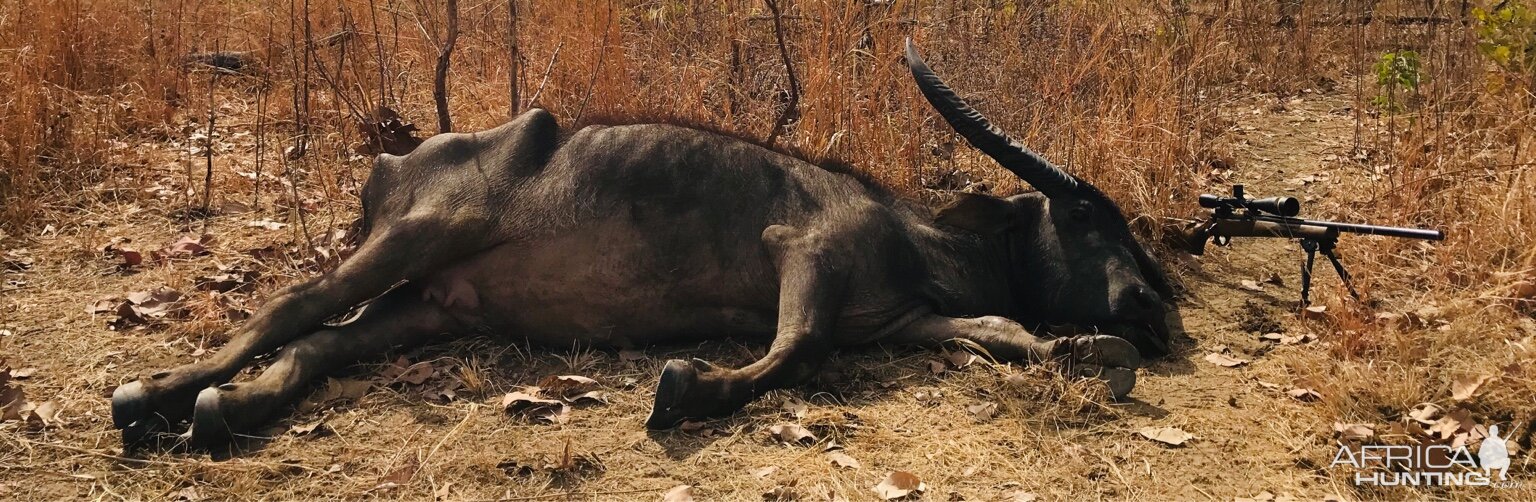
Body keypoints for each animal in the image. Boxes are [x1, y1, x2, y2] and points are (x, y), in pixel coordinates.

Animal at [111, 40, 1173, 448]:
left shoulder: (901, 322)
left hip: (426, 310)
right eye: (1089, 217)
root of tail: (399, 158)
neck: (914, 236)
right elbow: (794, 350)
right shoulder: (805, 255)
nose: (1153, 308)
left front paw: (1088, 351)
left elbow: (998, 330)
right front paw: (688, 388)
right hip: (417, 238)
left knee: (325, 345)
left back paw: (224, 411)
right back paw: (149, 396)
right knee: (291, 306)